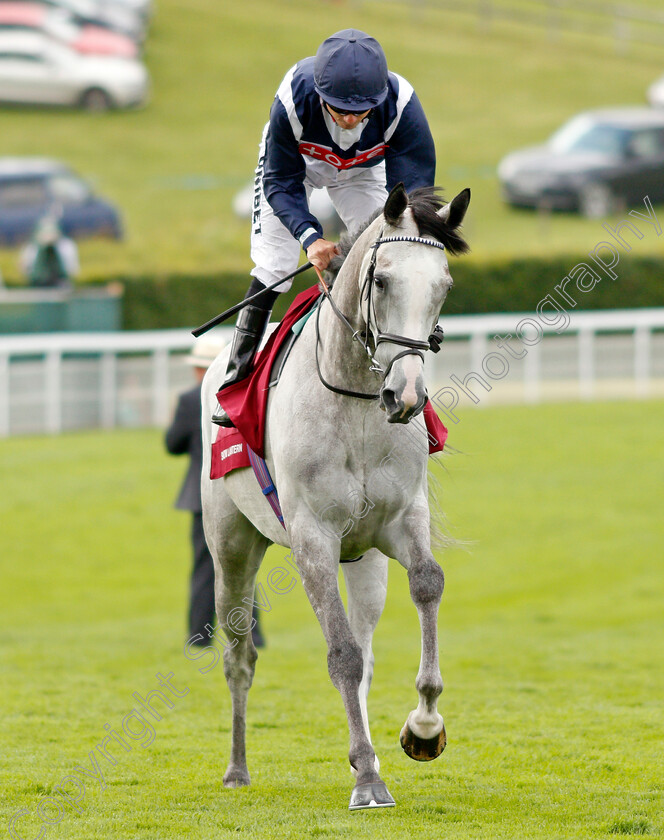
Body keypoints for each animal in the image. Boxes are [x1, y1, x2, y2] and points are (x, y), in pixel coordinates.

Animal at [200, 182, 470, 808]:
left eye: (443, 286)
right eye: (383, 281)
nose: (406, 394)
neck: (357, 400)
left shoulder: (401, 519)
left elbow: (428, 585)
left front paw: (424, 727)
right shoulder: (313, 538)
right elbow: (339, 654)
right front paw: (368, 778)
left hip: (365, 558)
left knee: (367, 647)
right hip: (231, 545)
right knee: (238, 655)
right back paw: (237, 767)